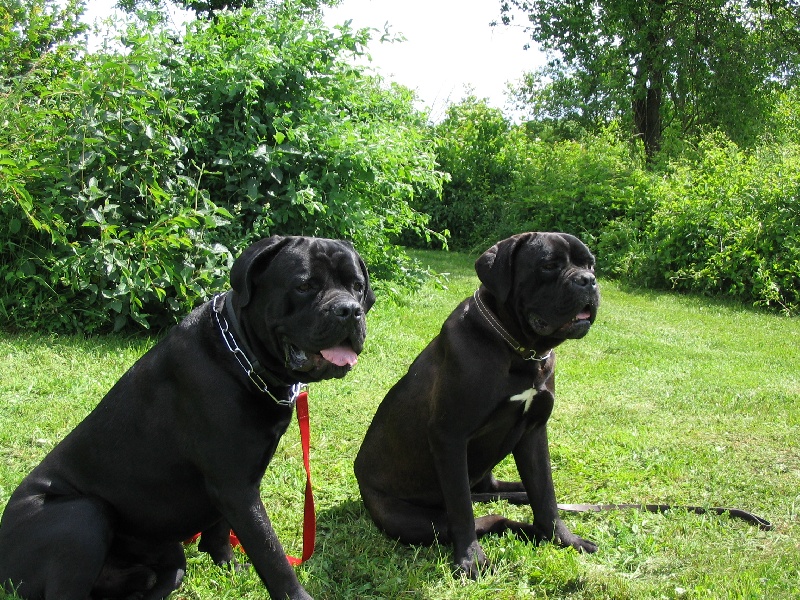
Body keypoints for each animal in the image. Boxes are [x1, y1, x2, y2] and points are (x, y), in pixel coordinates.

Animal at [0, 237, 376, 596]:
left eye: (357, 286)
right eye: (304, 285)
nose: (349, 310)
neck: (241, 356)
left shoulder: (233, 486)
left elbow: (220, 531)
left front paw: (229, 567)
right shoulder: (235, 486)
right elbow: (272, 556)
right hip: (83, 514)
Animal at [356, 231, 600, 576]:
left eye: (590, 265)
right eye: (548, 265)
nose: (588, 281)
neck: (519, 350)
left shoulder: (533, 432)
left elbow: (546, 494)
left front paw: (565, 539)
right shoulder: (450, 437)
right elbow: (462, 510)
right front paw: (470, 559)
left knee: (496, 493)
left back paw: (524, 502)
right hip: (411, 520)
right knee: (486, 516)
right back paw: (525, 529)